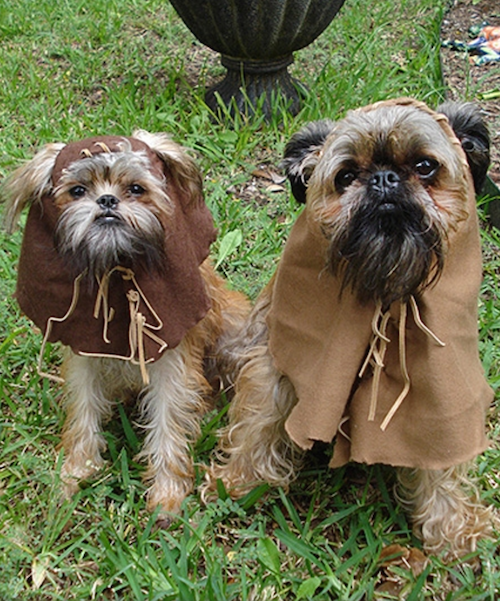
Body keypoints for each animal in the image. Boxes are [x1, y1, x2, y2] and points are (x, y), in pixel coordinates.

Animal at [1, 132, 248, 516]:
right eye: (77, 191)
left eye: (135, 189)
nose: (106, 200)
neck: (115, 272)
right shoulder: (84, 355)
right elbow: (84, 410)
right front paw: (77, 470)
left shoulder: (170, 361)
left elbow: (168, 421)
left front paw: (167, 494)